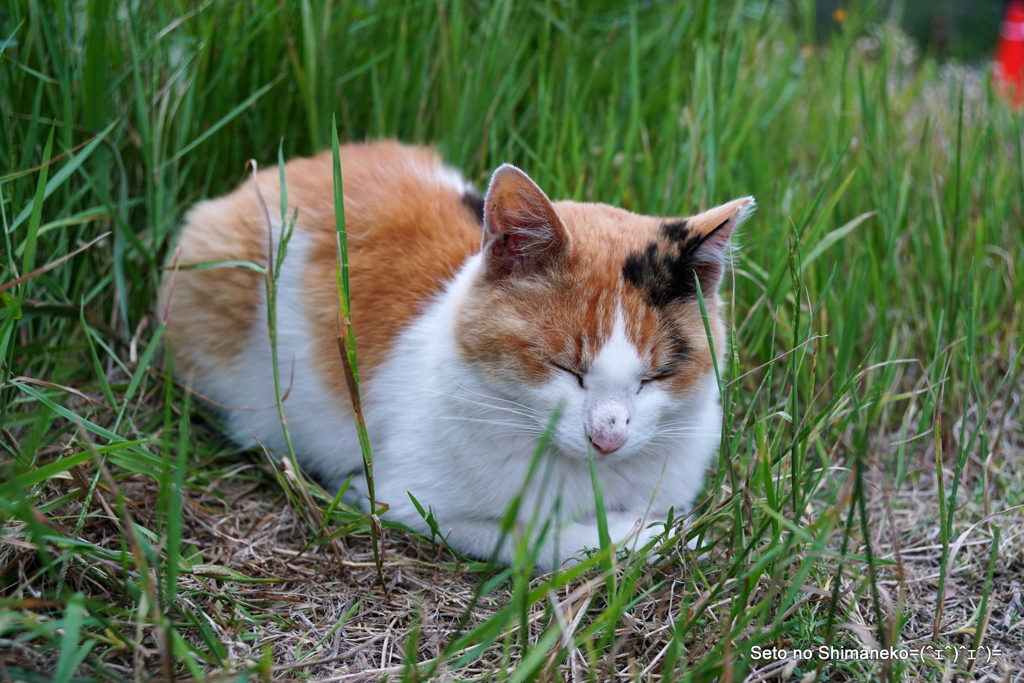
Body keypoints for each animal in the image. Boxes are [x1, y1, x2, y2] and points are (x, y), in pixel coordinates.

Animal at [159, 143, 753, 573]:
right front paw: (648, 537)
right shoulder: (408, 503)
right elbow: (543, 539)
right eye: (564, 368)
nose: (608, 438)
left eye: (658, 376)